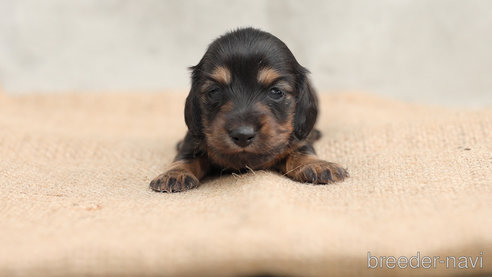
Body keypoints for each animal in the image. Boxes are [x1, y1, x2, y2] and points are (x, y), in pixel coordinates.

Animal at [150, 28, 346, 192]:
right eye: (214, 91)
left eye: (276, 92)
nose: (242, 135)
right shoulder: (193, 140)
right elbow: (185, 156)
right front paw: (174, 174)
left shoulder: (297, 140)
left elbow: (302, 150)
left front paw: (318, 165)